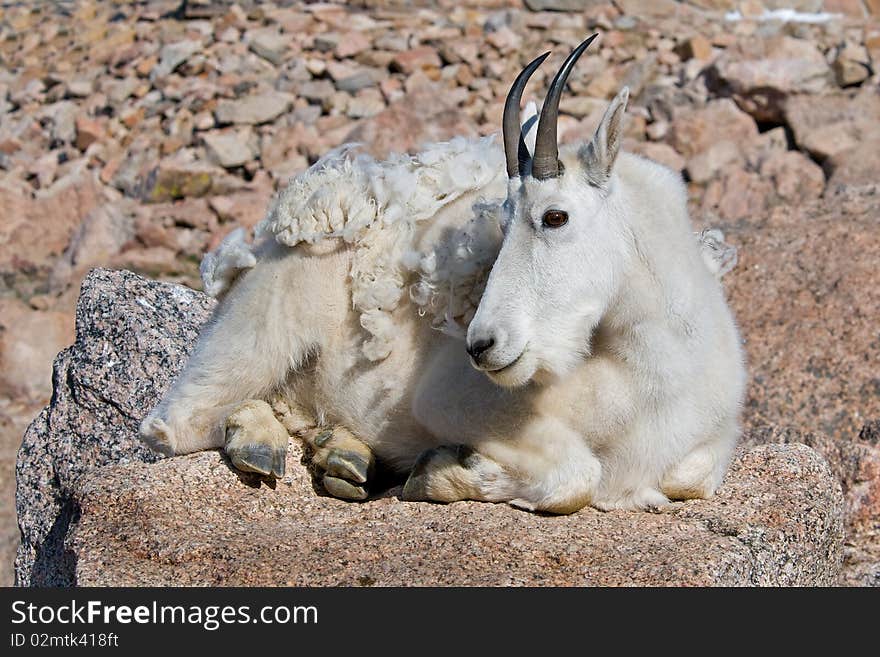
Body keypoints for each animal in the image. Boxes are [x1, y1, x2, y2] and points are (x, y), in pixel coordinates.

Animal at [141, 36, 744, 512]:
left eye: (555, 216)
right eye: (501, 219)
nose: (482, 345)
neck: (650, 374)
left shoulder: (708, 444)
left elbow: (690, 480)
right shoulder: (452, 402)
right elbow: (576, 478)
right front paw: (442, 471)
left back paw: (344, 456)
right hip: (259, 329)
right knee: (178, 422)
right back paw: (257, 442)